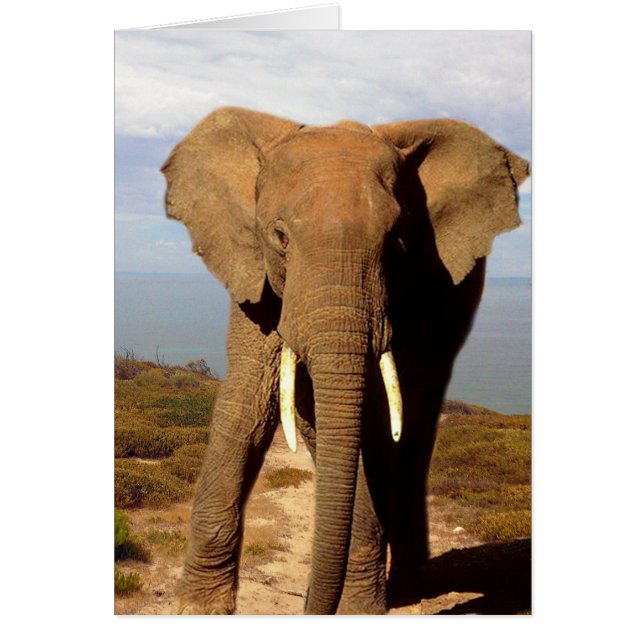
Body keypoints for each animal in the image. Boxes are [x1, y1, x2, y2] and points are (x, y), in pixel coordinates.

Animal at [160, 107, 529, 615]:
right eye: (279, 237)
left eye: (397, 241)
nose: (310, 607)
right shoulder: (253, 270)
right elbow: (246, 405)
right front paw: (197, 608)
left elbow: (371, 420)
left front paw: (359, 609)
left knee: (416, 419)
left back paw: (407, 587)